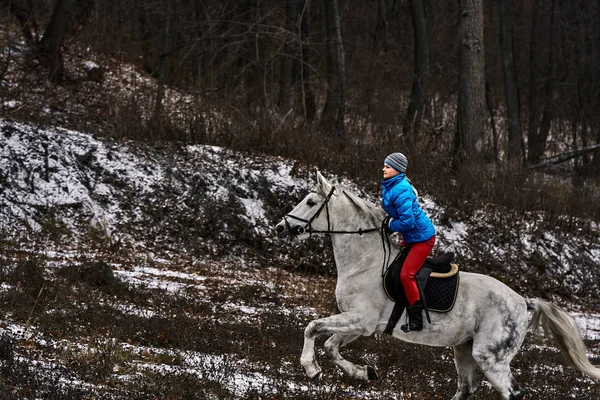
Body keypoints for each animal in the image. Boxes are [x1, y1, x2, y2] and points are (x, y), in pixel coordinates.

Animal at [276, 172, 600, 400]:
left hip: (490, 357)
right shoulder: (360, 324)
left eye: (310, 202)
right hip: (465, 351)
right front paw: (365, 372)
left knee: (511, 392)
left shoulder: (359, 319)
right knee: (466, 390)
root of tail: (523, 302)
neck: (364, 260)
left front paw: (311, 368)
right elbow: (331, 346)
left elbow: (312, 328)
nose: (280, 228)